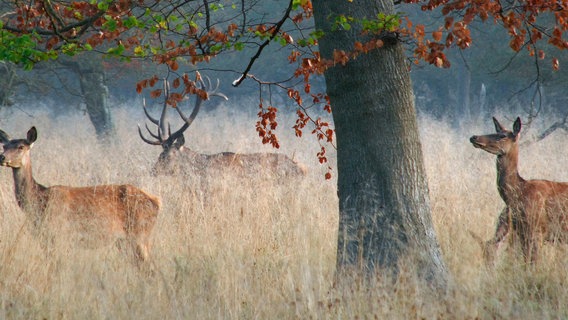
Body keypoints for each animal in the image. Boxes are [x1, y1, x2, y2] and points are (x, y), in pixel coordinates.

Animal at [0, 126, 160, 264]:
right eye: (4, 146)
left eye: (21, 147)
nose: (2, 157)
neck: (39, 201)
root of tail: (157, 202)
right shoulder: (43, 238)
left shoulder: (59, 234)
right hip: (124, 241)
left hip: (139, 234)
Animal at [470, 117, 568, 262]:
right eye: (497, 131)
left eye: (502, 136)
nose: (474, 137)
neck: (518, 193)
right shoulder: (521, 233)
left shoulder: (537, 231)